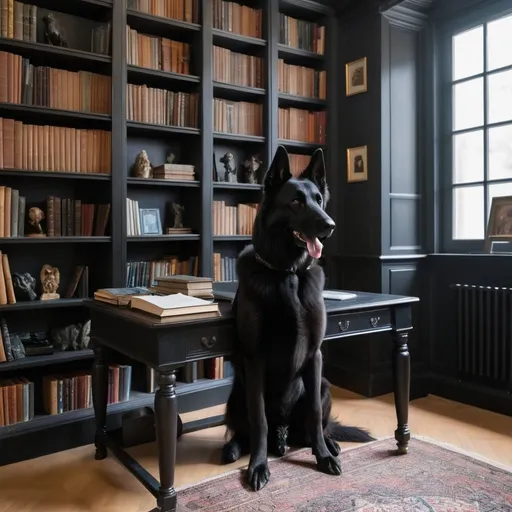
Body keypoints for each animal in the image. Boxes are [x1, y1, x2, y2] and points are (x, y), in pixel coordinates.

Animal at [220, 146, 372, 490]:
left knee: (311, 429)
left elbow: (314, 414)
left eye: (318, 198)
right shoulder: (255, 359)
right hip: (236, 394)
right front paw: (258, 465)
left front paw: (323, 457)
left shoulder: (315, 358)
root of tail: (284, 435)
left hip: (325, 385)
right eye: (296, 201)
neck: (286, 273)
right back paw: (235, 448)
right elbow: (259, 419)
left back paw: (329, 444)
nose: (330, 225)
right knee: (244, 429)